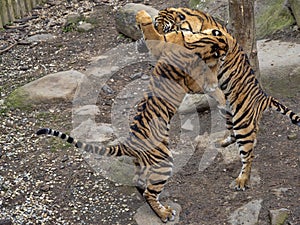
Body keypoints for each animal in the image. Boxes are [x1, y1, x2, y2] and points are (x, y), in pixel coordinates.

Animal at [35, 11, 227, 222]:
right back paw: (165, 214)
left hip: (146, 165)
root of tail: (128, 143)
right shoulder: (187, 75)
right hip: (164, 162)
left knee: (141, 184)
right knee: (150, 193)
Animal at [154, 7, 300, 192]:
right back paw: (222, 142)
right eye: (156, 26)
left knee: (248, 155)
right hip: (227, 111)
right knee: (233, 135)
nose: (158, 40)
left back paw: (242, 180)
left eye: (165, 28)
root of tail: (264, 97)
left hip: (243, 124)